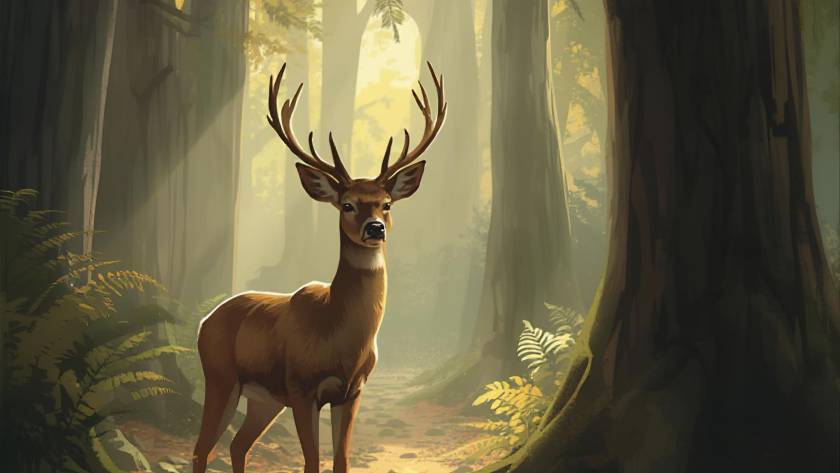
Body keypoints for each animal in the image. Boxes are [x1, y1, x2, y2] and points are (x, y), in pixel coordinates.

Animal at [191, 62, 446, 473]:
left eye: (387, 203)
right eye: (347, 204)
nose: (374, 228)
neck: (339, 339)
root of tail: (203, 321)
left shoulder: (353, 391)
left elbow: (341, 460)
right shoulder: (301, 386)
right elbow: (311, 462)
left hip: (264, 399)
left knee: (238, 445)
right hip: (221, 375)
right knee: (202, 448)